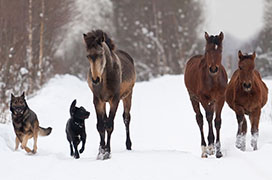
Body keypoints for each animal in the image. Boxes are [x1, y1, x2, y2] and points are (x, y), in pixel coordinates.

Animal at [82, 29, 135, 160]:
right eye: (88, 56)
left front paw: (107, 152)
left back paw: (128, 145)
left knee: (126, 118)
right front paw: (101, 151)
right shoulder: (98, 100)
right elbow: (101, 126)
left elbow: (110, 125)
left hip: (128, 96)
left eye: (101, 54)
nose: (95, 79)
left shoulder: (114, 100)